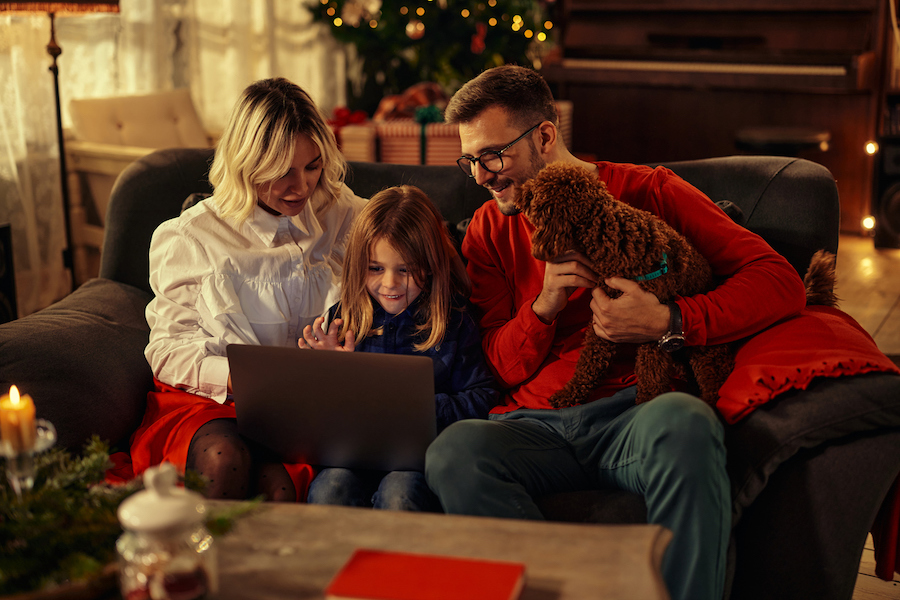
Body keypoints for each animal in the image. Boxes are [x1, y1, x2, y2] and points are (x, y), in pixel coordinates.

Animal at [512, 163, 732, 408]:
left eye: (534, 191)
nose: (518, 191)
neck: (606, 228)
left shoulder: (648, 326)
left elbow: (650, 372)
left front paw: (647, 401)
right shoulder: (604, 317)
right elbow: (591, 359)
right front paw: (570, 393)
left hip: (707, 353)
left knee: (712, 386)